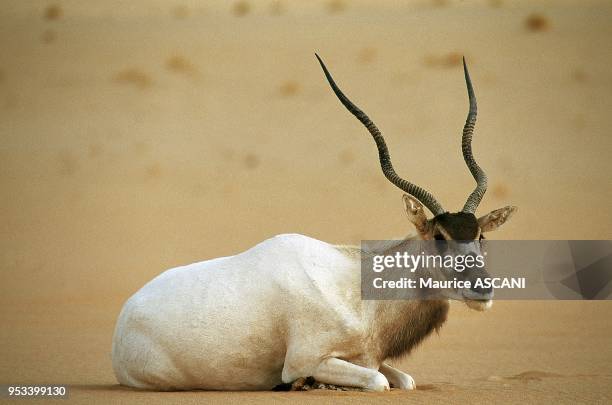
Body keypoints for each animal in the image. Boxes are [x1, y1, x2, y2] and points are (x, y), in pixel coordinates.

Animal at [111, 54, 516, 392]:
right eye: (438, 235)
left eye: (480, 234)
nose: (482, 289)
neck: (358, 290)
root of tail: (124, 319)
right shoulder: (305, 359)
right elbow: (378, 382)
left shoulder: (371, 357)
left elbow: (405, 380)